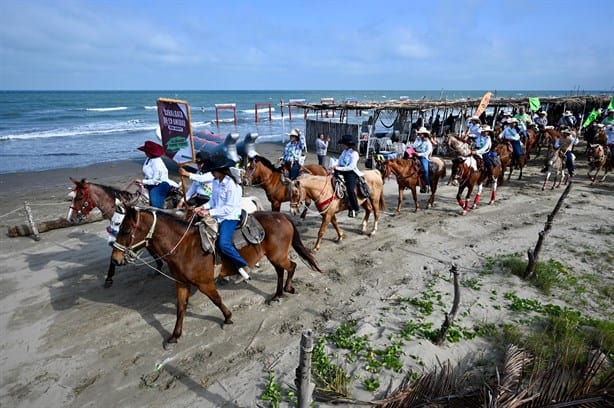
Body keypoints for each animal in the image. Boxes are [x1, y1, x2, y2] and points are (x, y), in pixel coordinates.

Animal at [112, 207, 322, 348]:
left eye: (126, 230)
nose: (115, 259)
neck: (184, 247)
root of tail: (281, 216)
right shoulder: (181, 284)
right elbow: (180, 309)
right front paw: (174, 336)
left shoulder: (205, 283)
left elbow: (217, 300)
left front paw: (228, 318)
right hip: (274, 256)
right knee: (281, 271)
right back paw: (277, 295)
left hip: (278, 255)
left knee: (291, 266)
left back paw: (286, 289)